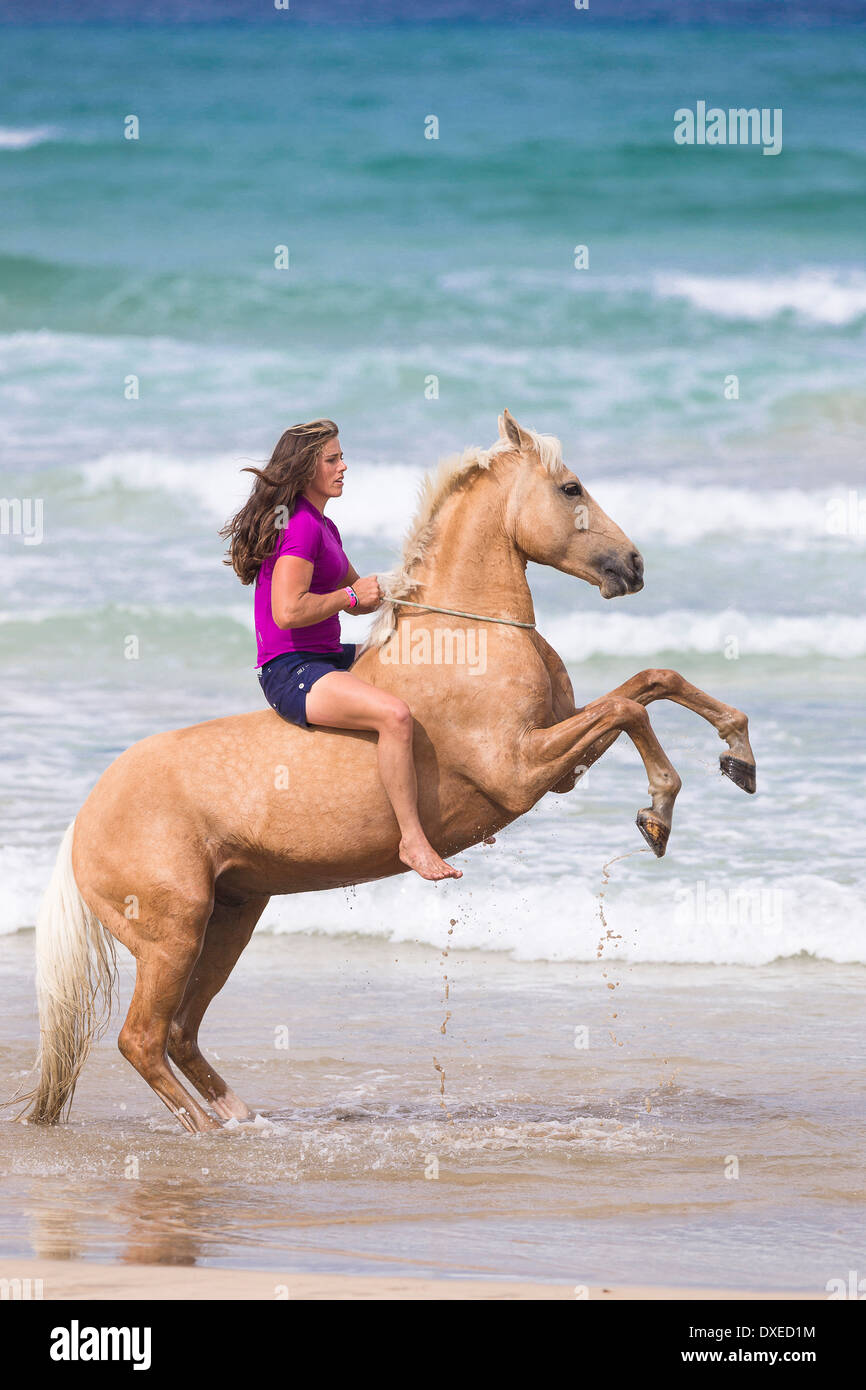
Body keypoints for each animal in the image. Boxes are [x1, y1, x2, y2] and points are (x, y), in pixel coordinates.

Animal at [16, 408, 756, 1128]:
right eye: (570, 488)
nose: (633, 565)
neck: (465, 636)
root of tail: (84, 817)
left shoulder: (558, 756)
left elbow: (651, 682)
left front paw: (738, 754)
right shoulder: (521, 769)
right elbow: (631, 710)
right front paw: (659, 812)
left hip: (231, 917)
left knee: (180, 1032)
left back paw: (243, 1122)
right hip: (173, 933)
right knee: (142, 1039)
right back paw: (208, 1134)